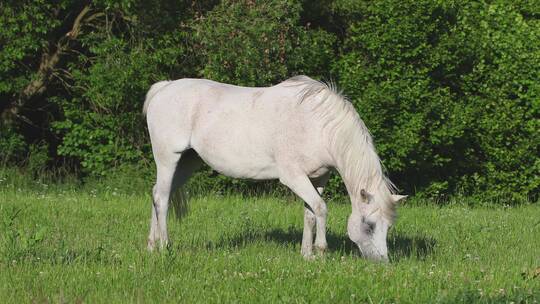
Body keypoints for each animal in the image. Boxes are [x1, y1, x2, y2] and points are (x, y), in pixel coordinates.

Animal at [142, 75, 404, 262]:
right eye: (369, 225)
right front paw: (320, 251)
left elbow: (310, 213)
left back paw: (152, 246)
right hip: (168, 159)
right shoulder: (293, 177)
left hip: (187, 162)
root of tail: (164, 88)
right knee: (162, 199)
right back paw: (165, 247)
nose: (382, 262)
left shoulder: (318, 179)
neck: (317, 124)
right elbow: (321, 209)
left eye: (388, 226)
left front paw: (306, 254)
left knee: (157, 194)